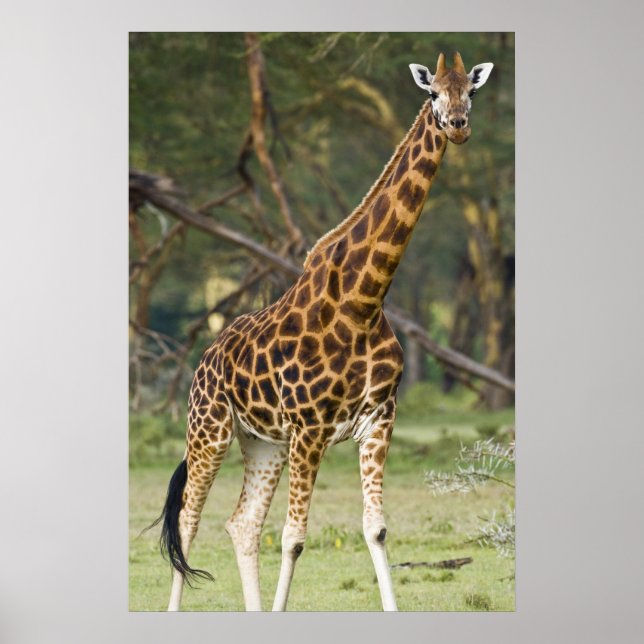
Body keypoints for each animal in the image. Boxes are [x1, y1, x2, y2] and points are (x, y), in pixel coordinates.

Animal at [151, 52, 494, 612]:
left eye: (471, 90)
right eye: (433, 93)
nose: (459, 125)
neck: (363, 301)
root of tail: (205, 357)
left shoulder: (378, 418)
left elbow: (375, 528)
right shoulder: (310, 428)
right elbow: (294, 537)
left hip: (262, 442)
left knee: (242, 524)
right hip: (209, 429)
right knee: (188, 520)